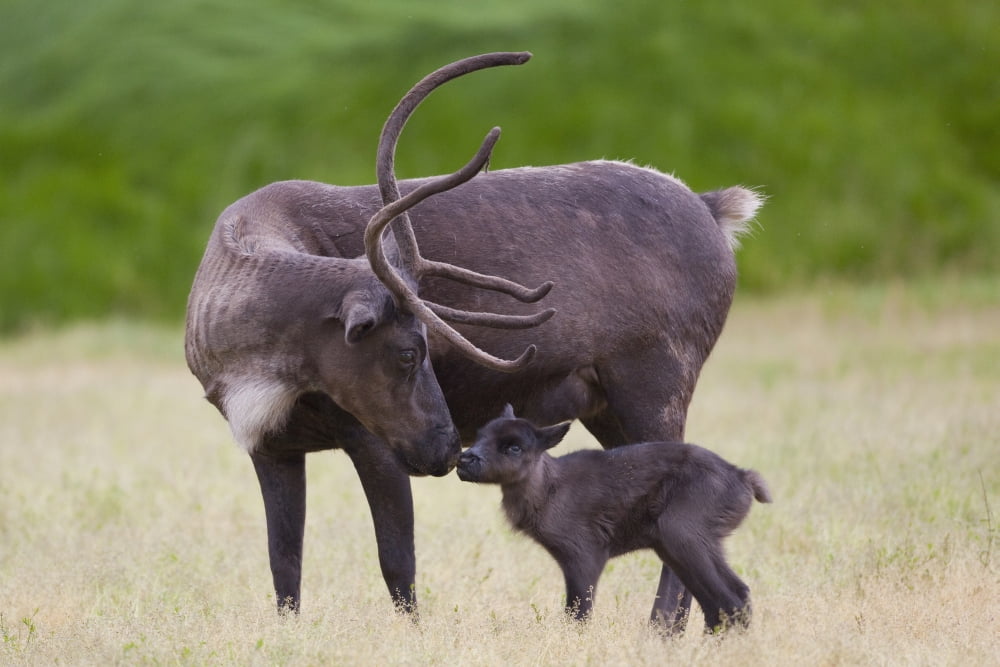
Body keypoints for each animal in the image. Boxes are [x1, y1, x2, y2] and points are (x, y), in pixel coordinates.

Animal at [457, 405, 772, 633]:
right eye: (480, 436)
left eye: (514, 447)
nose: (464, 460)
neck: (549, 491)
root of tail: (744, 480)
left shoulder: (586, 553)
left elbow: (578, 613)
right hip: (679, 546)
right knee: (724, 600)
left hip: (686, 535)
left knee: (731, 599)